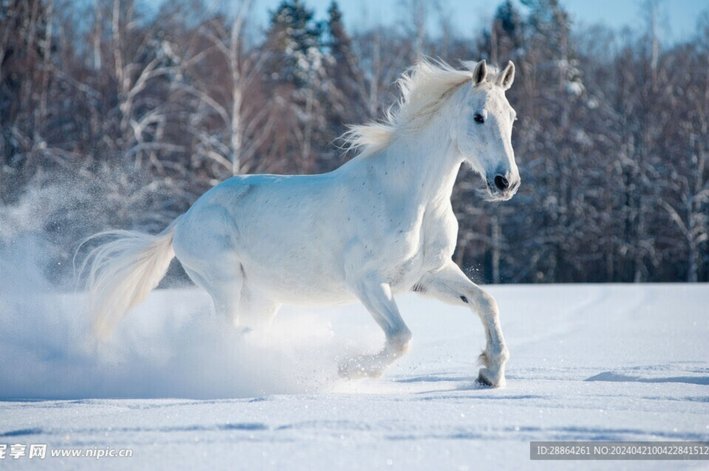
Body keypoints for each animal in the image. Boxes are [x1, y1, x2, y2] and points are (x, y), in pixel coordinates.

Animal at [84, 59, 520, 387]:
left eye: (512, 117)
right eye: (478, 116)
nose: (506, 182)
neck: (412, 197)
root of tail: (184, 219)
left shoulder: (428, 274)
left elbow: (486, 302)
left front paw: (489, 373)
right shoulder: (366, 280)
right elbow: (400, 338)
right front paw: (346, 370)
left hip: (263, 298)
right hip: (224, 285)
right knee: (224, 333)